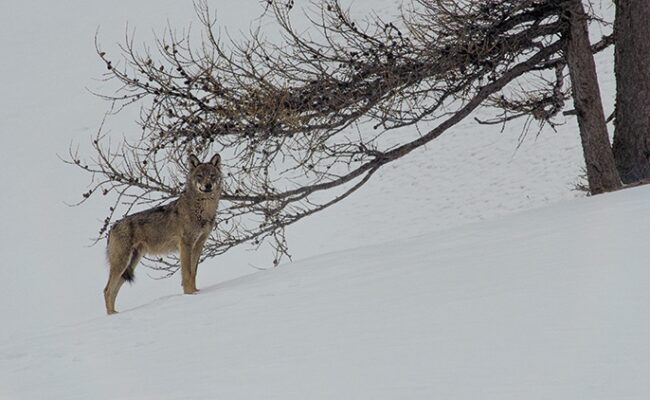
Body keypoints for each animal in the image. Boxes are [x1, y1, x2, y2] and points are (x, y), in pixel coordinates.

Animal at [102, 155, 221, 314]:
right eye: (200, 176)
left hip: (130, 265)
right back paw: (112, 315)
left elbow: (193, 273)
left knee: (112, 291)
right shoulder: (186, 244)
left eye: (212, 175)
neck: (202, 210)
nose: (208, 186)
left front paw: (196, 293)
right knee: (107, 290)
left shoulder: (199, 245)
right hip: (122, 263)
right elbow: (187, 274)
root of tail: (112, 227)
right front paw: (190, 295)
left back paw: (115, 314)